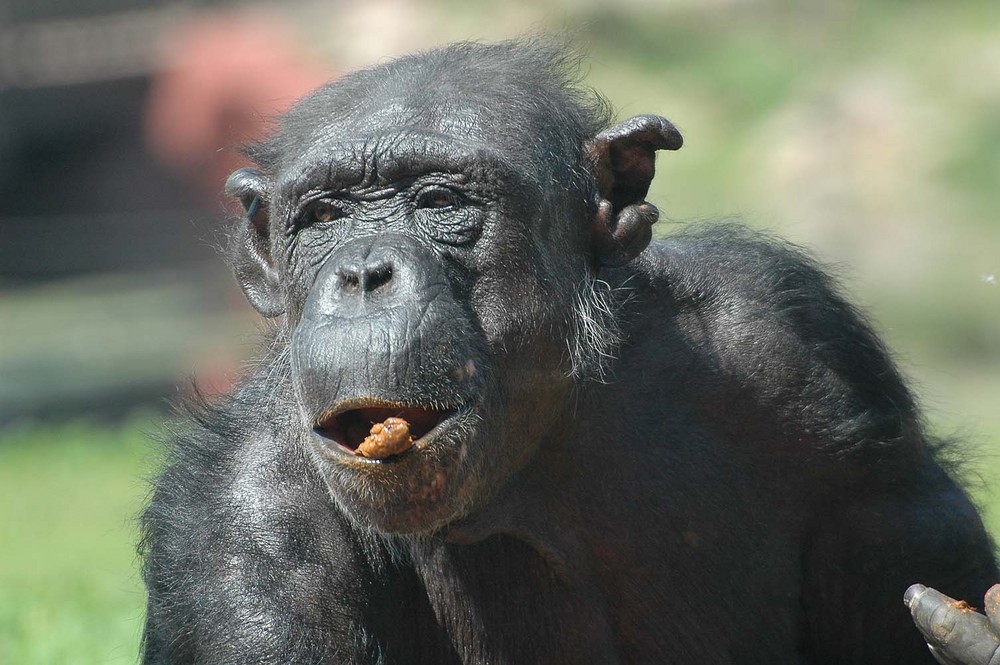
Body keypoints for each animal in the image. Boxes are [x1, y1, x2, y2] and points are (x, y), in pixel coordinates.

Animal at [141, 39, 1000, 660]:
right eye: (323, 217)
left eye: (439, 201)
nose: (362, 273)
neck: (535, 448)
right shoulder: (243, 532)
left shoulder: (808, 354)